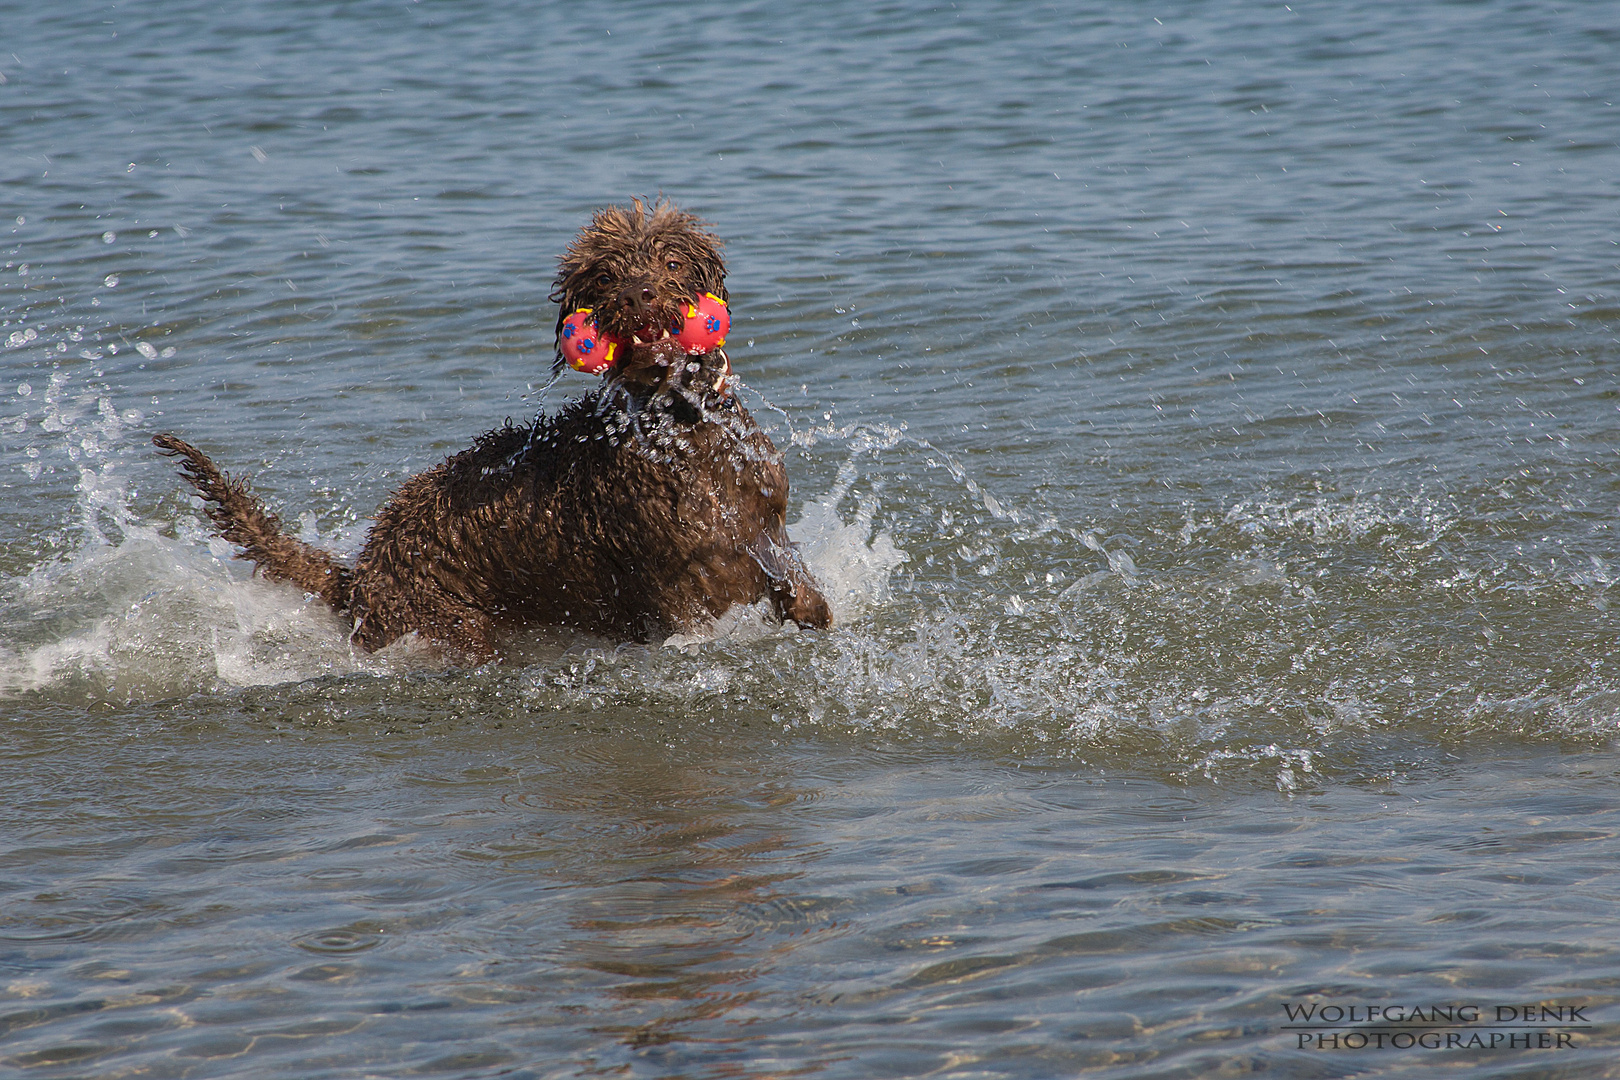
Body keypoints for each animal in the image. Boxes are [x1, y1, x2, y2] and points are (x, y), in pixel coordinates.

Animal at [154, 202, 835, 660]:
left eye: (670, 261)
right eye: (606, 277)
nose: (640, 296)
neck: (678, 427)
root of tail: (359, 575)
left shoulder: (767, 533)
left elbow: (805, 596)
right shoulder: (676, 591)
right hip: (448, 623)